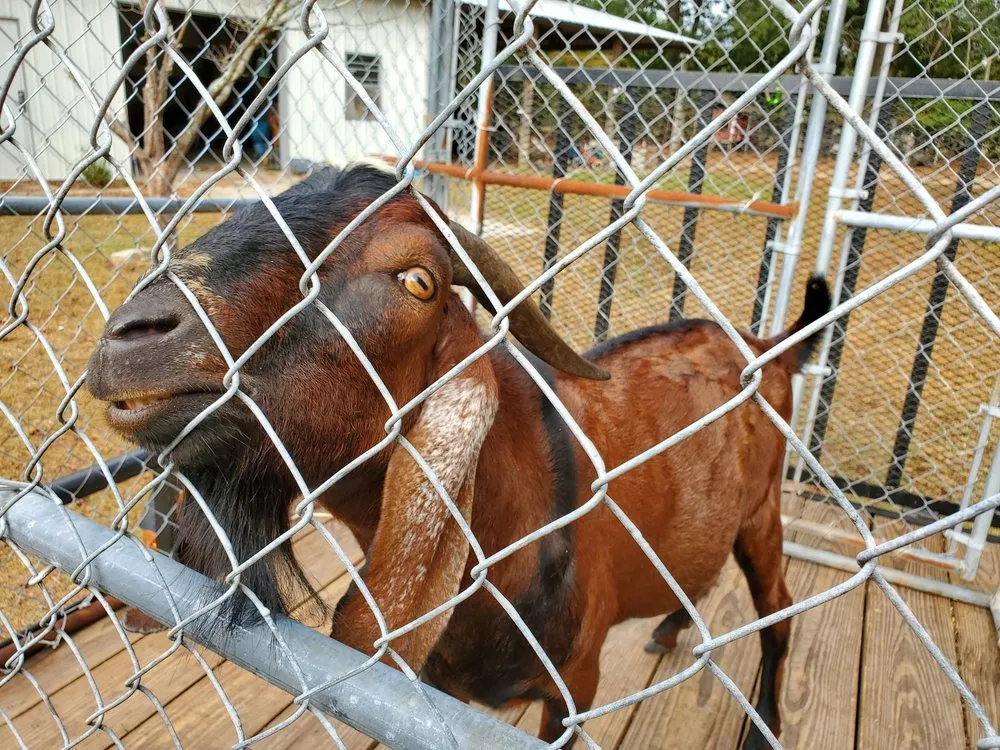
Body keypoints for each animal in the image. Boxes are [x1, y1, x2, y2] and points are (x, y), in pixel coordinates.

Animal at [87, 164, 830, 748]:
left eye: (418, 281)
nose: (132, 336)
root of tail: (765, 345)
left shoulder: (573, 689)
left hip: (764, 515)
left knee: (779, 612)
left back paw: (765, 722)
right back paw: (670, 628)